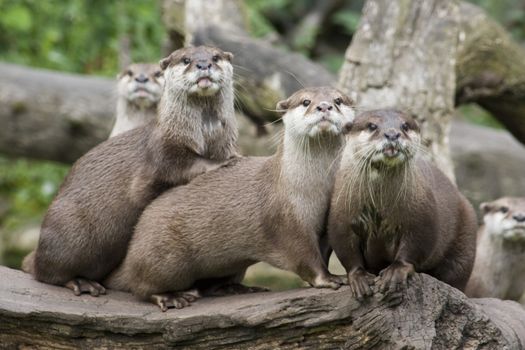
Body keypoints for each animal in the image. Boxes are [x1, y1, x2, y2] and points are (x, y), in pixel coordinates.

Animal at [23, 45, 237, 296]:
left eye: (216, 57)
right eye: (186, 60)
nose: (204, 64)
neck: (204, 136)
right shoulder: (160, 152)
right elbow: (181, 166)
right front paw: (220, 163)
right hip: (67, 232)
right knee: (45, 273)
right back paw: (80, 282)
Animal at [104, 87, 354, 312]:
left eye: (338, 100)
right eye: (305, 101)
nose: (324, 106)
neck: (311, 190)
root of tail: (132, 249)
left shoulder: (325, 223)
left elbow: (323, 252)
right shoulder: (286, 220)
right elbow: (305, 257)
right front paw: (329, 279)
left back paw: (237, 288)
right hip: (165, 258)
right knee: (140, 287)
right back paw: (170, 297)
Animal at [328, 108, 478, 300]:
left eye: (405, 126)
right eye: (372, 126)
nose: (392, 134)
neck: (379, 204)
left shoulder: (421, 216)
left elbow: (416, 245)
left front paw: (395, 272)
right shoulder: (341, 217)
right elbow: (346, 250)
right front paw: (358, 277)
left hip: (465, 243)